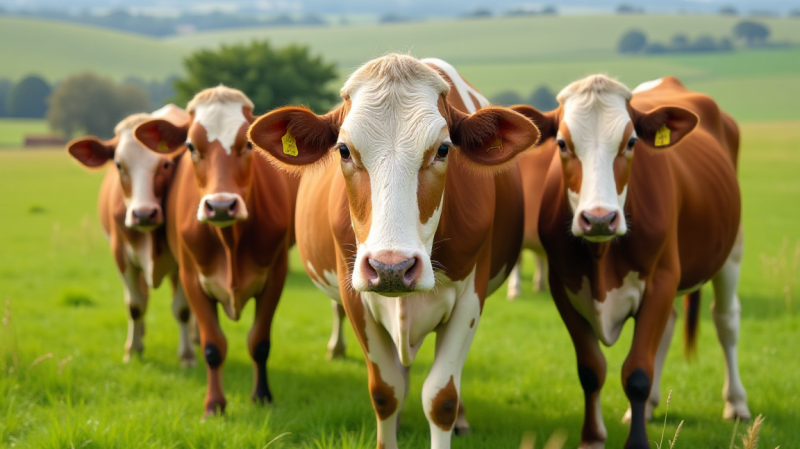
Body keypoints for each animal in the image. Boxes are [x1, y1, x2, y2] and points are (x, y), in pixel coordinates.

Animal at [67, 105, 196, 366]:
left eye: (166, 164)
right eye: (119, 165)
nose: (143, 213)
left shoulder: (182, 261)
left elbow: (182, 309)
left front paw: (187, 355)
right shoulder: (122, 256)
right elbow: (135, 305)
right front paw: (133, 350)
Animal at [134, 86, 299, 417]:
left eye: (247, 143)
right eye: (190, 146)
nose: (221, 205)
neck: (229, 241)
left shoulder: (276, 275)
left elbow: (260, 342)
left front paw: (262, 396)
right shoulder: (192, 279)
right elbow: (213, 346)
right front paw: (214, 404)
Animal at [248, 54, 540, 449]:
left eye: (443, 149)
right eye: (344, 150)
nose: (392, 267)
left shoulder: (470, 296)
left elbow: (442, 397)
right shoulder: (355, 295)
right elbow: (386, 391)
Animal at [512, 75, 750, 448]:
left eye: (631, 142)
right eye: (562, 144)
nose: (599, 218)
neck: (602, 258)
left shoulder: (661, 282)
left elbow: (637, 371)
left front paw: (637, 441)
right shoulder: (563, 287)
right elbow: (591, 369)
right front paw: (592, 438)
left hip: (731, 250)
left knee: (726, 321)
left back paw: (736, 403)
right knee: (669, 326)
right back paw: (652, 405)